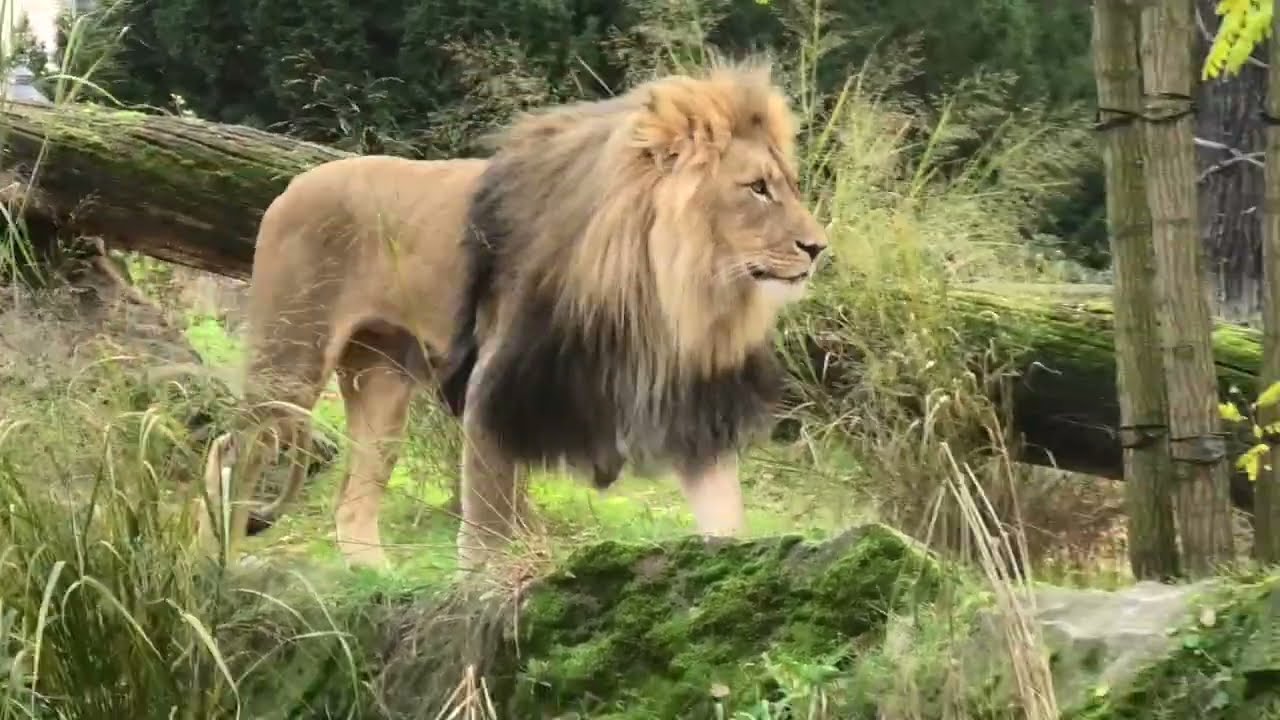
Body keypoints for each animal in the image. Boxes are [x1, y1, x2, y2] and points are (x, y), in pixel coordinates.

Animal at [199, 59, 829, 571]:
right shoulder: (496, 386)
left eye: (789, 186)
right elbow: (488, 525)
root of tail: (293, 183)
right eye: (757, 188)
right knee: (232, 448)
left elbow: (726, 517)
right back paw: (217, 561)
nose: (818, 247)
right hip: (292, 357)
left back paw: (374, 582)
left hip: (383, 381)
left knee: (353, 494)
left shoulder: (694, 410)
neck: (673, 288)